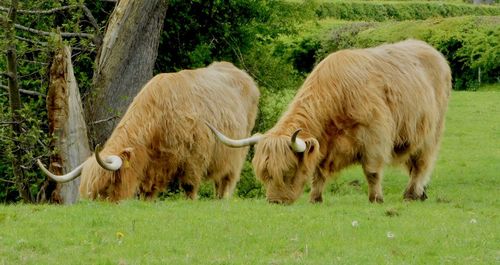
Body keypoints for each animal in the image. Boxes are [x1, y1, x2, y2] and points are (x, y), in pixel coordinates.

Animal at [37, 62, 260, 201]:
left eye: (106, 187)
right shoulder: (153, 168)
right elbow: (148, 193)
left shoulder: (194, 158)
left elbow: (189, 188)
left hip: (236, 153)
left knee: (226, 182)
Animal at [207, 39, 454, 203]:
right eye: (264, 173)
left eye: (288, 172)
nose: (275, 201)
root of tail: (431, 50)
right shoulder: (324, 145)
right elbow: (319, 173)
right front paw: (315, 198)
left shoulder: (374, 136)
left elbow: (372, 171)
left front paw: (376, 198)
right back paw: (420, 193)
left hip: (431, 132)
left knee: (422, 162)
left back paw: (412, 194)